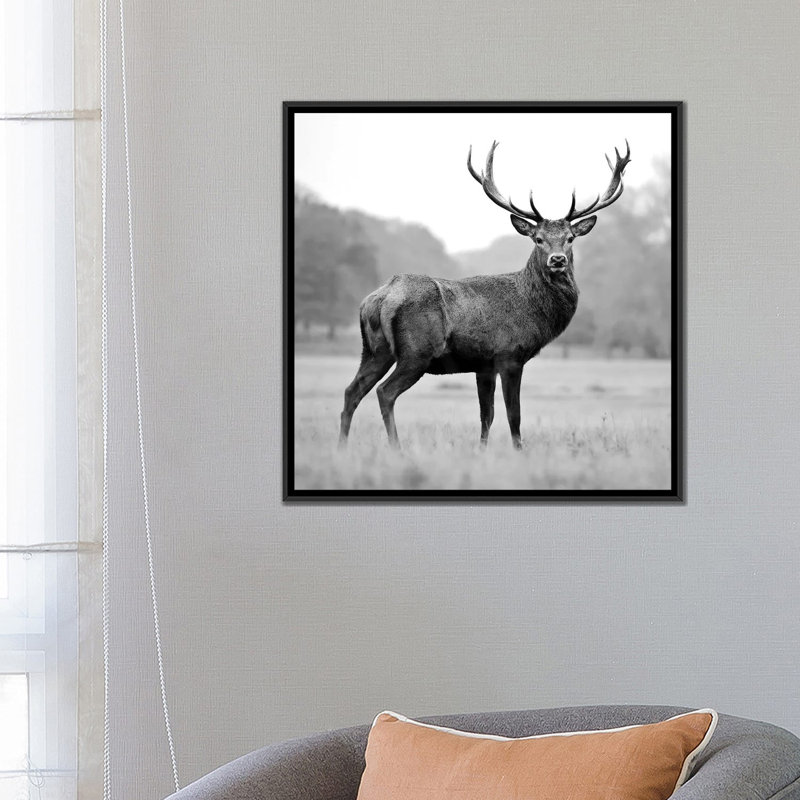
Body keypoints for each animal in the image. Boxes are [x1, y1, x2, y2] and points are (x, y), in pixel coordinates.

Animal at [338, 139, 631, 450]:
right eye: (538, 239)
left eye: (570, 238)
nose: (558, 260)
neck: (533, 310)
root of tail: (380, 298)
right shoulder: (509, 354)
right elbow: (514, 415)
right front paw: (519, 451)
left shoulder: (484, 365)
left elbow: (486, 416)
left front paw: (481, 451)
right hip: (416, 351)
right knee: (385, 392)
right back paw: (396, 448)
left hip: (374, 350)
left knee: (351, 390)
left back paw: (342, 447)